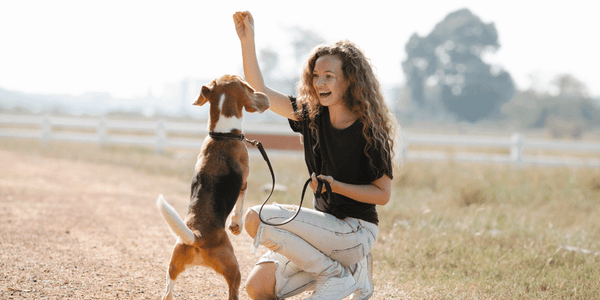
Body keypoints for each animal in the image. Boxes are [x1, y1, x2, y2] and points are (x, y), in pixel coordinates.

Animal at [156, 74, 268, 300]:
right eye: (247, 86)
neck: (222, 134)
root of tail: (197, 237)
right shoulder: (244, 183)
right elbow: (239, 207)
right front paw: (236, 226)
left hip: (173, 267)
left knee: (168, 292)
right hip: (234, 269)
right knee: (233, 291)